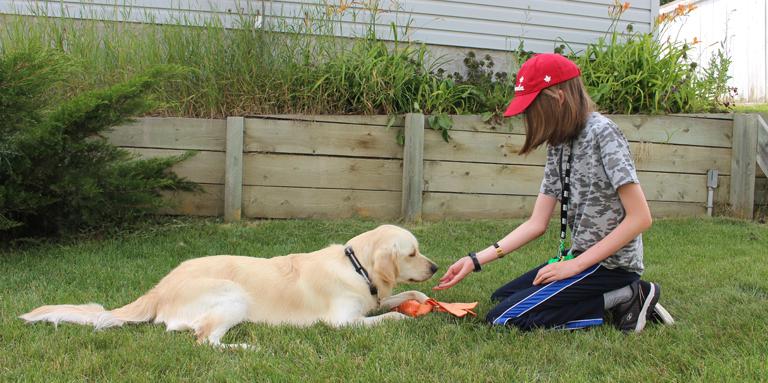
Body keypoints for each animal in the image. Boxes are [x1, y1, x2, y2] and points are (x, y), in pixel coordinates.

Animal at [19, 225, 438, 348]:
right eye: (413, 252)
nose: (435, 266)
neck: (357, 267)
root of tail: (160, 287)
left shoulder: (373, 300)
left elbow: (405, 297)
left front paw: (423, 298)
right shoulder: (343, 321)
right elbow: (394, 317)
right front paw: (410, 318)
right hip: (233, 295)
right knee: (204, 339)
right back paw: (246, 346)